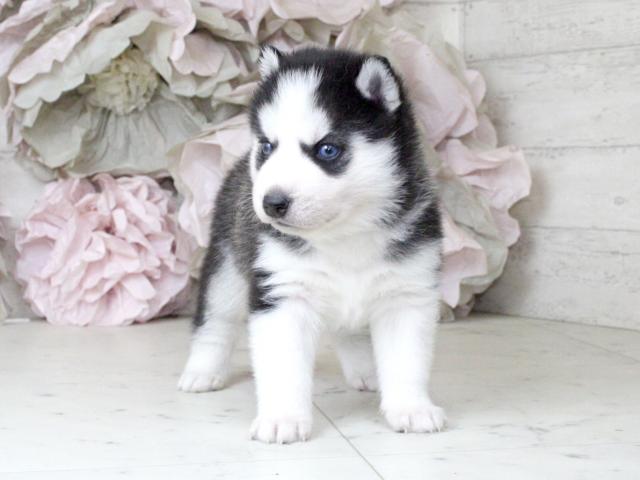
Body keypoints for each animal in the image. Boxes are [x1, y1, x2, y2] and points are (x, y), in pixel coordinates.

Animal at [178, 46, 445, 444]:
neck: (344, 235)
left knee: (350, 331)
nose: (271, 202)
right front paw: (283, 418)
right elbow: (284, 366)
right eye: (268, 146)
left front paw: (411, 408)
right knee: (216, 321)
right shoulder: (281, 294)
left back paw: (366, 371)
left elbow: (406, 359)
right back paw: (202, 371)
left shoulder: (406, 293)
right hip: (226, 271)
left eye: (327, 150)